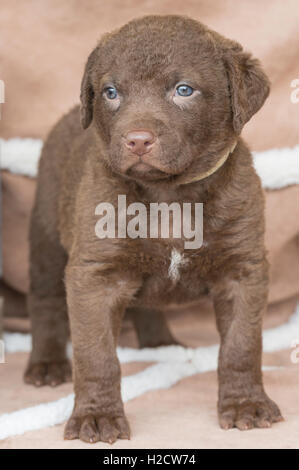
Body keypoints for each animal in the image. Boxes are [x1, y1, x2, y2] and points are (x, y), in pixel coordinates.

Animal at [25, 16, 284, 444]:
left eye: (184, 90)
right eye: (111, 92)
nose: (137, 141)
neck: (169, 195)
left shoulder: (243, 271)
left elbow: (241, 345)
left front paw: (246, 404)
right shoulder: (94, 275)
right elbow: (96, 356)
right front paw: (97, 416)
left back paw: (158, 342)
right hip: (45, 231)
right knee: (45, 302)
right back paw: (46, 364)